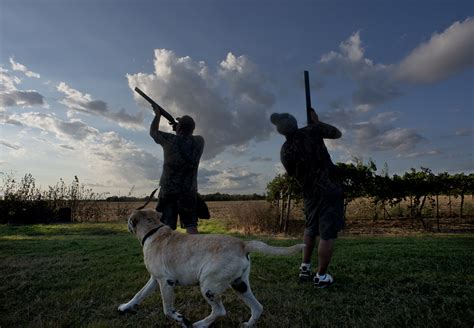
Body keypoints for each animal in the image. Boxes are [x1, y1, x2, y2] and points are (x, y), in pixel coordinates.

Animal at [118, 209, 304, 326]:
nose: (126, 225)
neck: (153, 231)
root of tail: (244, 244)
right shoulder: (154, 279)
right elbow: (139, 294)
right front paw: (126, 307)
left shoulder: (166, 282)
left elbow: (167, 309)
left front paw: (182, 320)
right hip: (240, 285)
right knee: (258, 307)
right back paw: (247, 325)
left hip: (209, 285)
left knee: (220, 311)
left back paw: (199, 324)